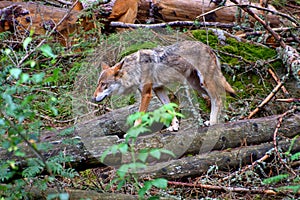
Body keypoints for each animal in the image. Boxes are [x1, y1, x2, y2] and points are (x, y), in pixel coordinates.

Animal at [92, 40, 236, 131]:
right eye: (98, 84)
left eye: (103, 85)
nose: (93, 98)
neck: (134, 69)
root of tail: (208, 47)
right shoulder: (158, 89)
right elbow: (169, 109)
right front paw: (175, 126)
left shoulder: (146, 94)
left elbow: (139, 117)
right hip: (198, 86)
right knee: (218, 98)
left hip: (204, 83)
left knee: (218, 99)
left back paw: (213, 122)